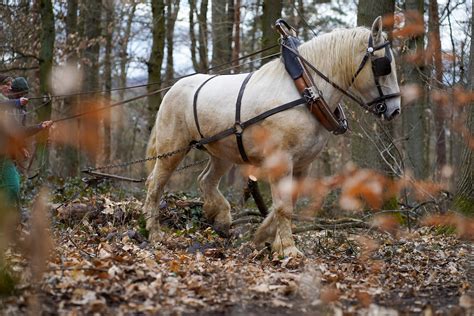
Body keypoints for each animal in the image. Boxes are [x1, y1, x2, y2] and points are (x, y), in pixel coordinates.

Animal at [144, 17, 400, 256]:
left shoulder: (303, 164)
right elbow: (284, 206)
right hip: (172, 150)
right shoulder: (281, 160)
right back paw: (154, 232)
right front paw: (288, 248)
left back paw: (221, 219)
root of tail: (174, 87)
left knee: (205, 180)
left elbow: (287, 203)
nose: (395, 110)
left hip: (222, 153)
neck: (305, 91)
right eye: (383, 65)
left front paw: (264, 237)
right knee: (156, 184)